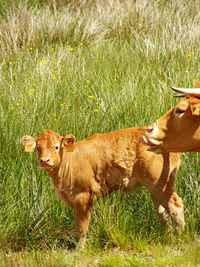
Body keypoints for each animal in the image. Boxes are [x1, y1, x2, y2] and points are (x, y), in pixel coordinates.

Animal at [21, 121, 184, 247]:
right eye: (38, 148)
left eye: (56, 146)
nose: (44, 160)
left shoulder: (83, 196)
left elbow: (81, 227)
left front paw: (80, 249)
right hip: (155, 187)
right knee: (162, 211)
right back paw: (165, 237)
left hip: (160, 183)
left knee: (175, 205)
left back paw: (181, 236)